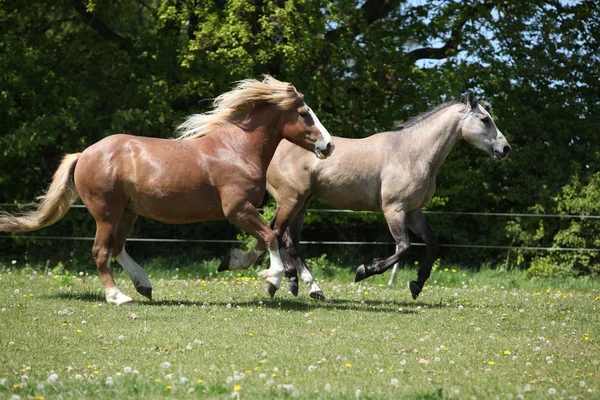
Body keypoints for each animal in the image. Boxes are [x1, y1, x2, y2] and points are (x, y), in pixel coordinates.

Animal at [0, 76, 332, 304]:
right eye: (304, 113)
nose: (328, 145)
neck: (236, 149)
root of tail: (84, 154)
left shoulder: (244, 211)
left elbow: (266, 239)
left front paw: (231, 263)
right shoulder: (237, 209)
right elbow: (271, 236)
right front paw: (272, 280)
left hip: (128, 212)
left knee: (117, 248)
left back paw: (143, 285)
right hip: (106, 213)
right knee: (101, 251)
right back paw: (118, 296)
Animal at [227, 92, 508, 302]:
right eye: (485, 119)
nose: (505, 149)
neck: (412, 153)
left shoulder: (414, 212)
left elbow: (433, 244)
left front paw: (417, 284)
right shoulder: (394, 210)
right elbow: (404, 248)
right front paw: (364, 271)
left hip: (302, 203)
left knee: (286, 237)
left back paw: (299, 284)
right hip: (292, 199)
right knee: (279, 234)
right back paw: (291, 283)